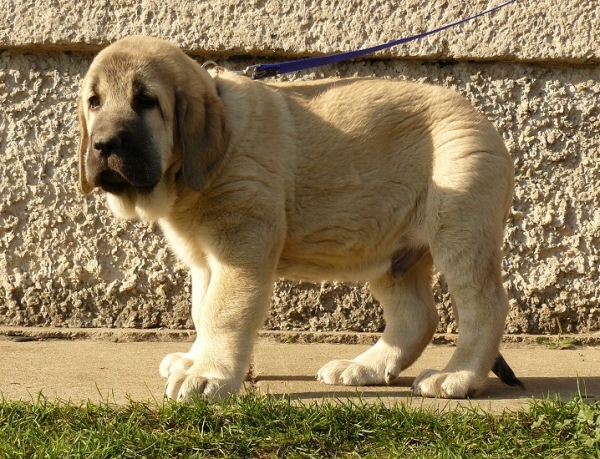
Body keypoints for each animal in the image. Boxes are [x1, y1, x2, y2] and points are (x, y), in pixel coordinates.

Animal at [78, 36, 520, 400]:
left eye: (146, 101)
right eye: (94, 102)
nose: (103, 145)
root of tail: (483, 122)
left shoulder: (241, 243)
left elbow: (222, 312)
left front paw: (208, 376)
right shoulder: (205, 260)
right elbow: (201, 311)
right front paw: (195, 360)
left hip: (459, 228)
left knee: (485, 306)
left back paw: (457, 377)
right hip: (390, 251)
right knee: (416, 317)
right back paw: (364, 368)